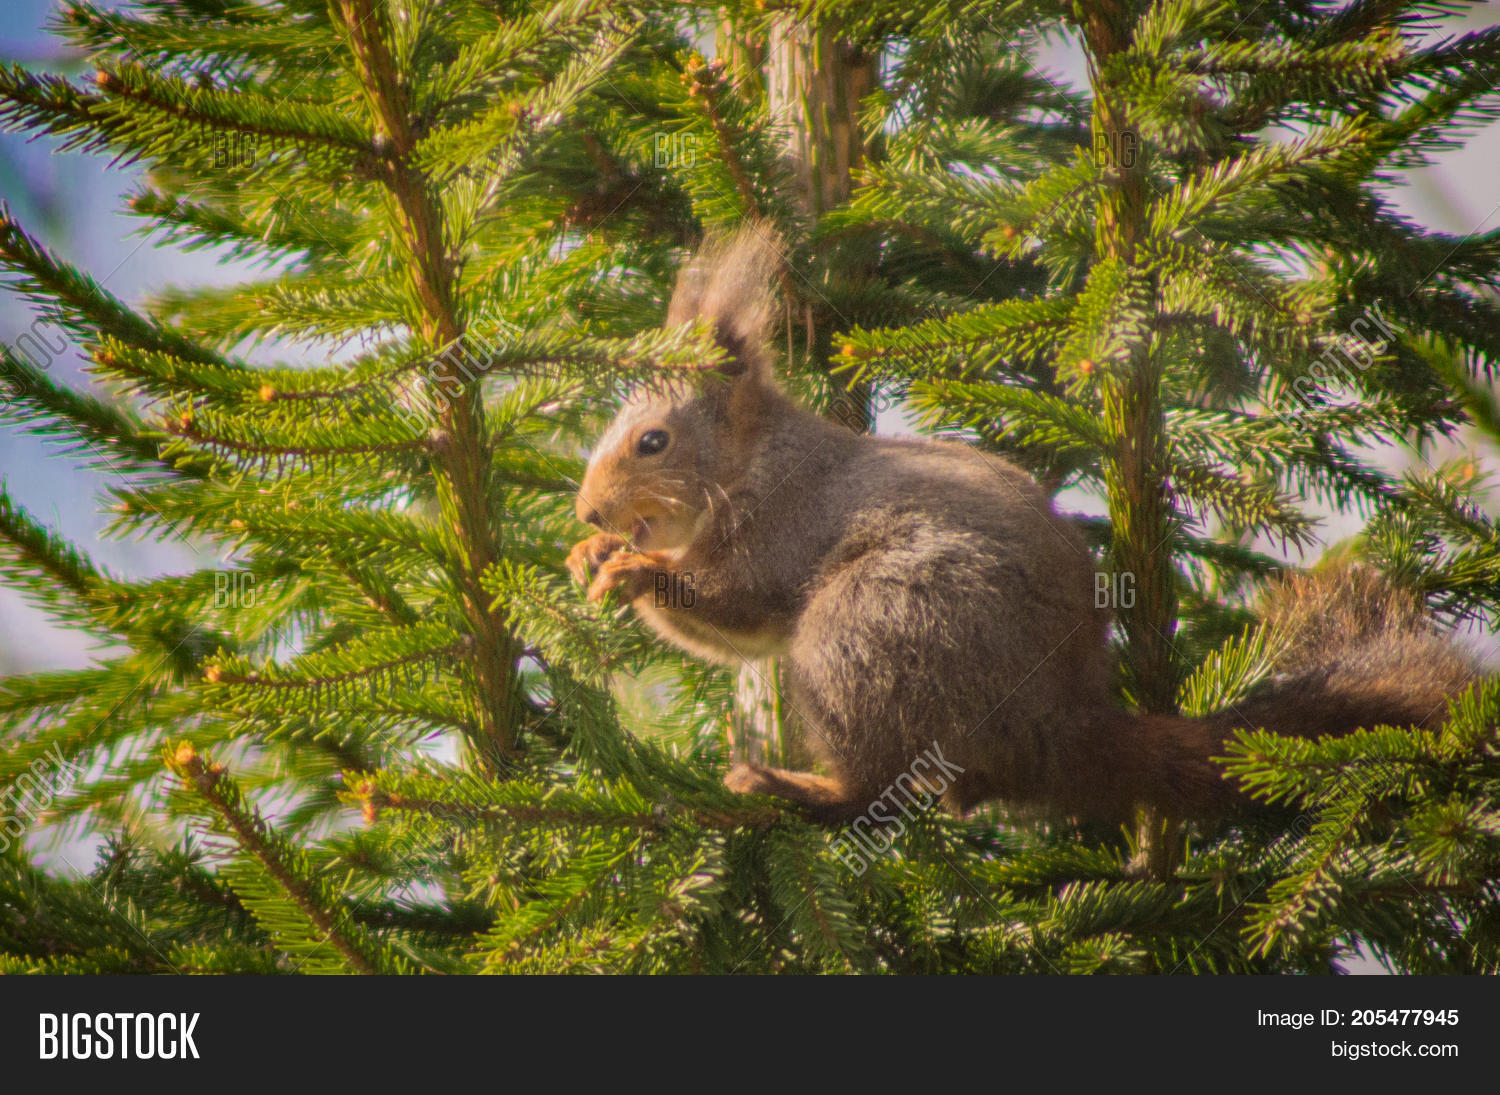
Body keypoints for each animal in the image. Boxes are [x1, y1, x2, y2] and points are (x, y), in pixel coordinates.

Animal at [566, 226, 1479, 824]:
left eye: (653, 441)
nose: (587, 507)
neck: (753, 461)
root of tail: (1061, 725)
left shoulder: (779, 529)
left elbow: (733, 606)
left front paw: (631, 569)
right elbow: (732, 637)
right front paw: (588, 554)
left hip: (870, 625)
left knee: (871, 785)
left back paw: (795, 788)